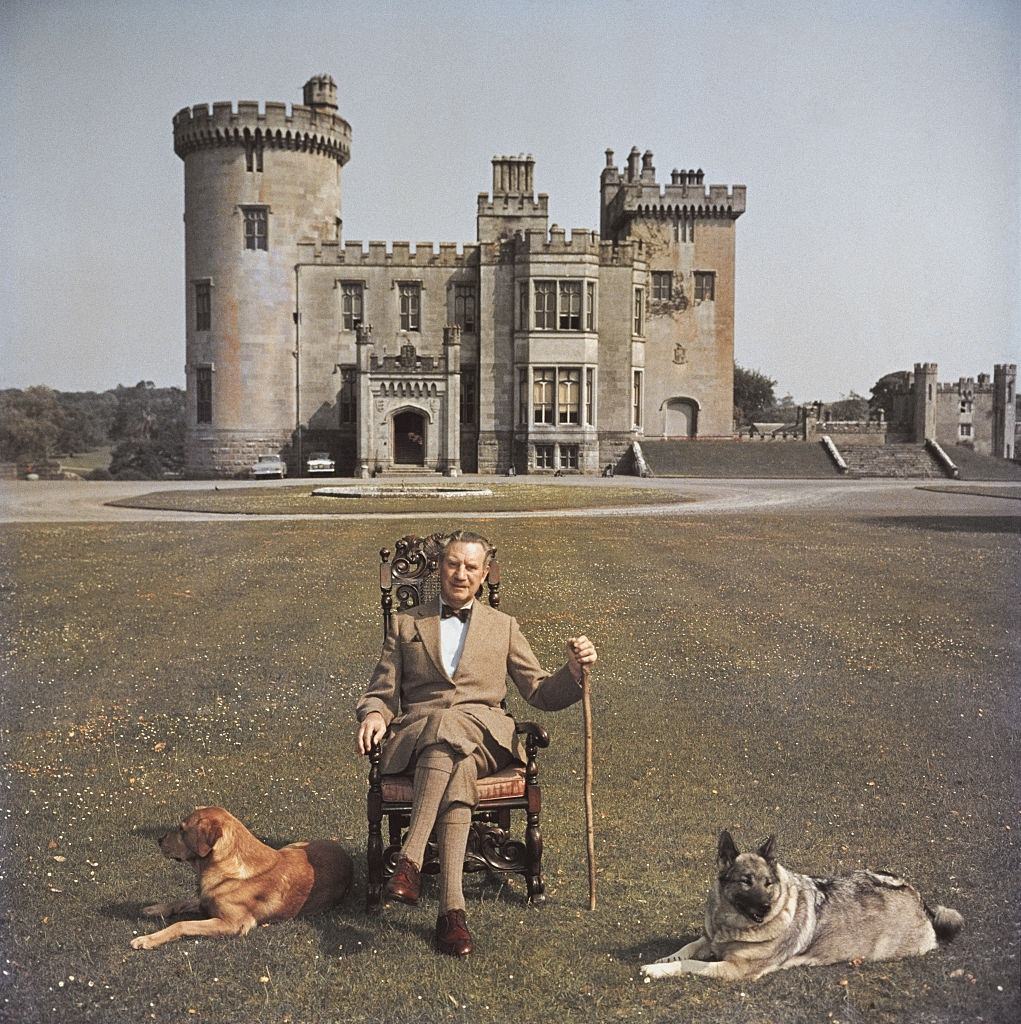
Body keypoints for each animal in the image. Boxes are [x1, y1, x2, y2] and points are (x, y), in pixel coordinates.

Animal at [129, 806, 352, 950]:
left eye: (182, 829)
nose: (159, 840)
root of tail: (342, 851)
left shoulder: (233, 924)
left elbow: (182, 924)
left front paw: (146, 939)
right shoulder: (205, 900)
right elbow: (183, 901)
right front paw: (155, 908)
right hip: (292, 846)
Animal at [643, 827, 958, 978]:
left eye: (768, 883)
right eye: (746, 881)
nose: (765, 907)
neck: (729, 926)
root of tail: (920, 900)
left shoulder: (735, 969)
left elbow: (690, 964)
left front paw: (657, 970)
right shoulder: (709, 940)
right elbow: (689, 947)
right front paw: (665, 958)